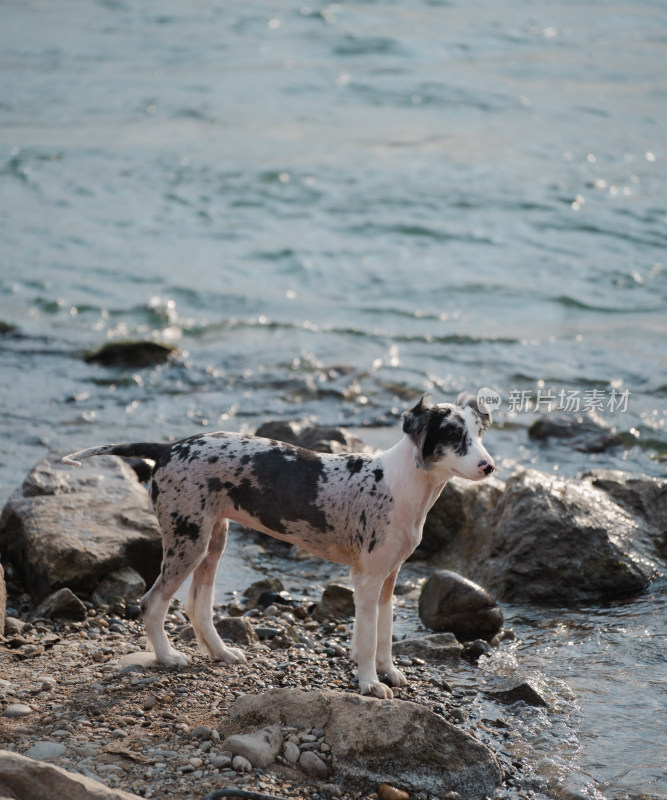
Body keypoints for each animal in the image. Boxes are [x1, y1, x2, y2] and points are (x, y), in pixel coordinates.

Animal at [62, 394, 494, 700]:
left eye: (479, 434)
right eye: (452, 436)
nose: (489, 466)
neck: (398, 484)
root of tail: (168, 448)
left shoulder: (389, 577)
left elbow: (385, 634)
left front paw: (389, 673)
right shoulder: (368, 579)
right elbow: (369, 638)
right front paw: (370, 684)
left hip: (212, 541)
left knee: (197, 607)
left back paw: (222, 653)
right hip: (187, 540)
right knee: (152, 603)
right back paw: (168, 658)